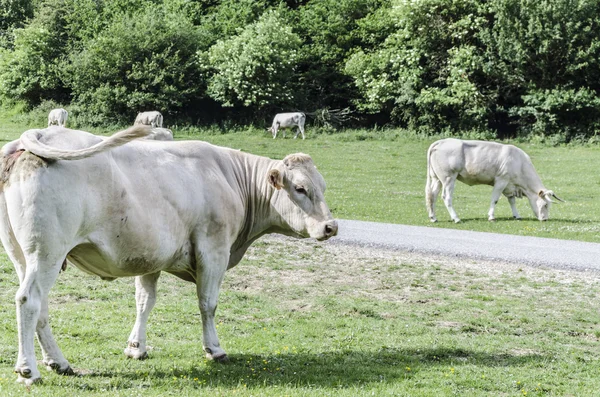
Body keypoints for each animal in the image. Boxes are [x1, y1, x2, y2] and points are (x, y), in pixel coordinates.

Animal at [0, 124, 338, 384]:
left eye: (322, 186)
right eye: (300, 188)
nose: (331, 226)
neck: (230, 177)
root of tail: (40, 134)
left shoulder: (149, 255)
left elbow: (144, 301)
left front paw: (136, 347)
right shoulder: (214, 248)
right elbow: (208, 303)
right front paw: (214, 349)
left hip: (23, 255)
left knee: (40, 307)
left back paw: (59, 363)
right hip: (47, 252)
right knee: (29, 300)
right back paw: (28, 370)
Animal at [424, 138, 560, 221]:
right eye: (545, 204)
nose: (545, 219)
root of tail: (441, 141)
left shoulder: (509, 185)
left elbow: (512, 201)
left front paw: (517, 215)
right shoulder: (501, 180)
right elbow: (494, 199)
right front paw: (491, 217)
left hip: (436, 178)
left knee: (432, 195)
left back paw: (433, 218)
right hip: (449, 178)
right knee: (446, 197)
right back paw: (456, 218)